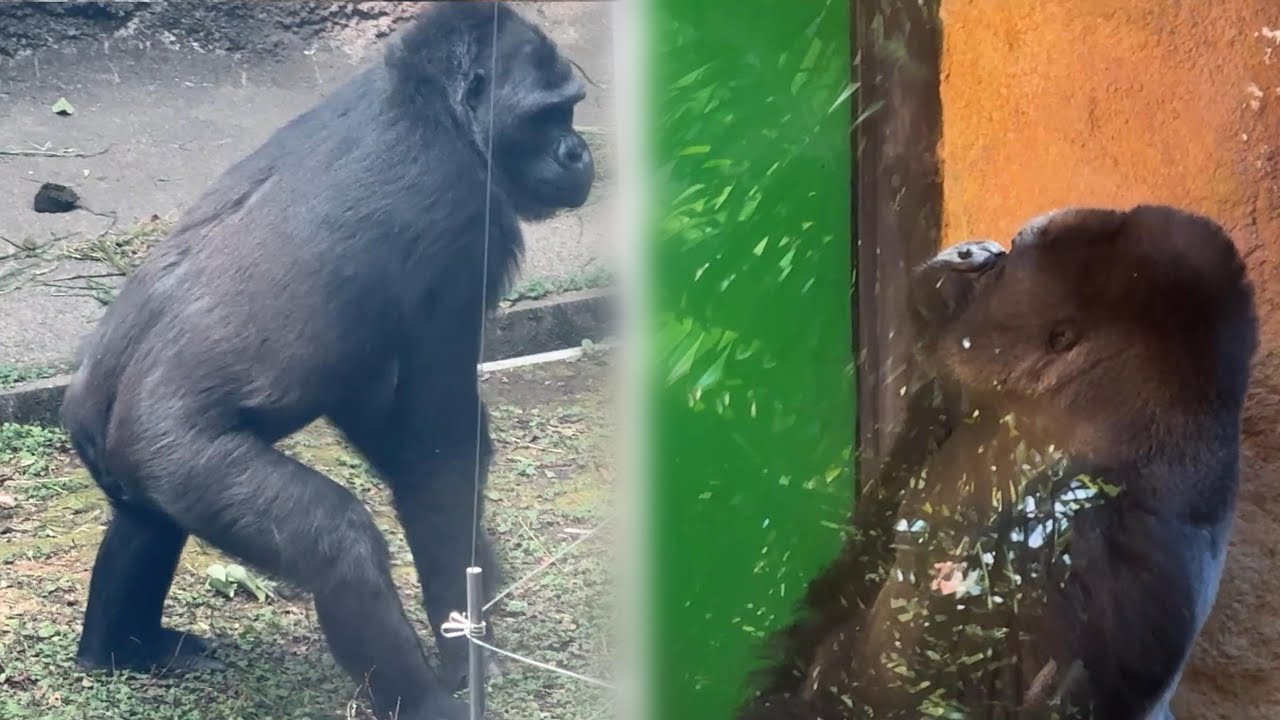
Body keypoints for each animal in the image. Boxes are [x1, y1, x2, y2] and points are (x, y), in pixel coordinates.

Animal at [57, 4, 594, 719]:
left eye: (571, 110)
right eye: (548, 115)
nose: (578, 151)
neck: (427, 105)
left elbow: (389, 421)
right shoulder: (468, 228)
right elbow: (438, 453)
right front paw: (465, 642)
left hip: (121, 451)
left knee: (144, 522)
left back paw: (120, 648)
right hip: (181, 456)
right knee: (339, 546)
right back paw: (426, 702)